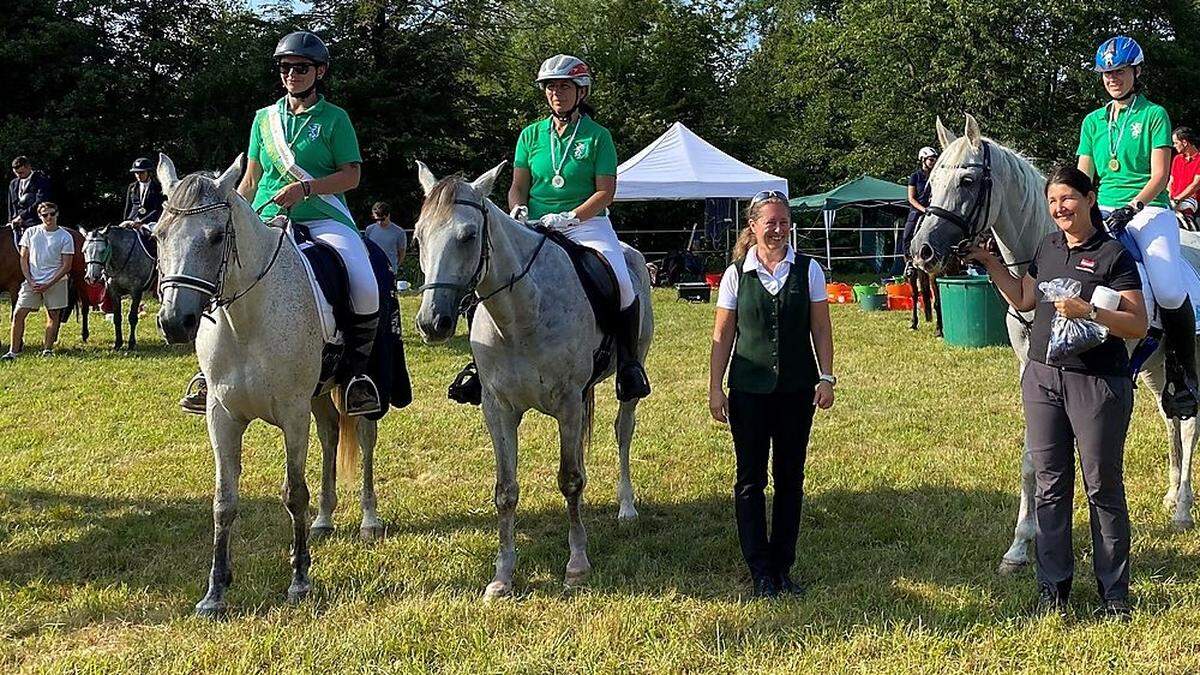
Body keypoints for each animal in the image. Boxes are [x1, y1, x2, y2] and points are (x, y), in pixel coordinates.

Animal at [152, 153, 381, 614]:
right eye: (159, 234)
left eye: (215, 236)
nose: (174, 321)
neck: (246, 321)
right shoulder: (221, 416)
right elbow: (224, 501)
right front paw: (215, 592)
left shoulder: (292, 415)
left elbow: (294, 493)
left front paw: (300, 580)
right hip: (318, 397)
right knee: (330, 435)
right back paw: (324, 520)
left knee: (364, 440)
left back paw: (368, 519)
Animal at [415, 162, 657, 593]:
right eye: (418, 235)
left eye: (469, 235)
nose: (432, 323)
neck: (519, 315)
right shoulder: (498, 409)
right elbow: (505, 491)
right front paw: (502, 576)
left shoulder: (567, 404)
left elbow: (570, 480)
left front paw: (576, 565)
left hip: (628, 377)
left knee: (623, 431)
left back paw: (626, 507)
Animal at [912, 115, 1195, 571]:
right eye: (932, 182)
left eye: (969, 181)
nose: (922, 251)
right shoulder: (1030, 366)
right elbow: (1033, 454)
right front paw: (1019, 546)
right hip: (1156, 364)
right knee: (1171, 418)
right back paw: (1171, 496)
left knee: (1188, 422)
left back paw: (1184, 509)